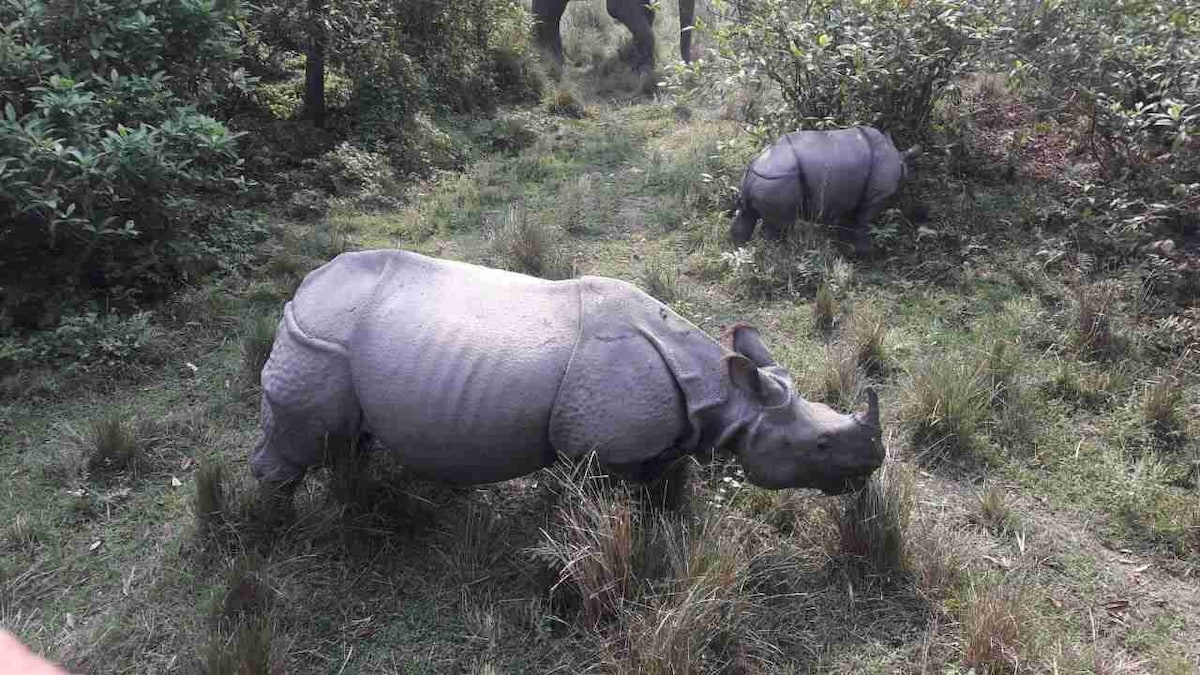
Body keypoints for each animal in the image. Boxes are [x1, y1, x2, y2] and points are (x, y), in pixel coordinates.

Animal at [248, 248, 888, 504]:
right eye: (821, 444)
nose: (874, 464)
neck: (726, 392)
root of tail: (304, 287)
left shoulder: (660, 438)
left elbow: (661, 487)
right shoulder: (602, 451)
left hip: (336, 347)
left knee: (342, 437)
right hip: (317, 344)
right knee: (300, 437)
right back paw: (276, 523)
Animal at [729, 125, 916, 252]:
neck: (900, 157)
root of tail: (754, 164)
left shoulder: (848, 197)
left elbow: (847, 224)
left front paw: (847, 251)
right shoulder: (875, 198)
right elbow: (862, 223)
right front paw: (866, 253)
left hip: (763, 178)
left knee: (746, 214)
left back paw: (739, 252)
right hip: (778, 179)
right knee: (779, 227)